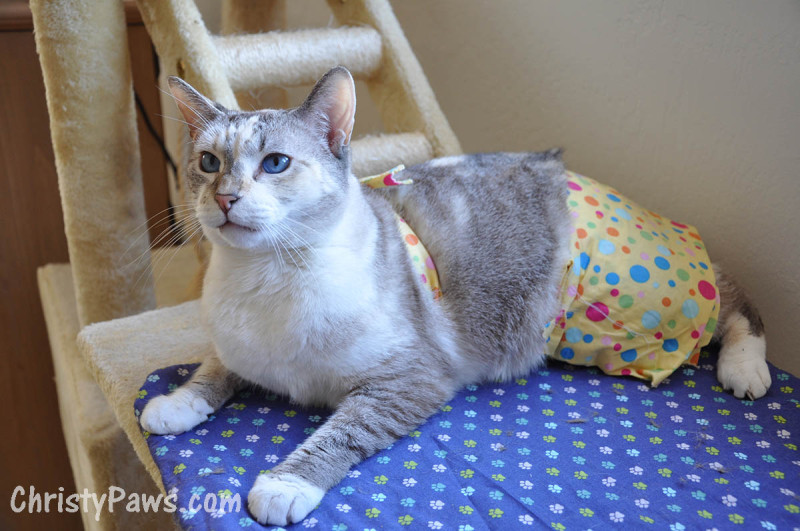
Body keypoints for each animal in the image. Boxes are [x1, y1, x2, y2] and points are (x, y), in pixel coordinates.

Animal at [141, 67, 772, 528]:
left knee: (736, 304)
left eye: (274, 163)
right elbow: (210, 370)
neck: (263, 277)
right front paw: (174, 404)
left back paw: (746, 372)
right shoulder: (236, 350)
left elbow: (336, 435)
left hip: (625, 319)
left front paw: (280, 485)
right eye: (208, 163)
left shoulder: (407, 381)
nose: (224, 199)